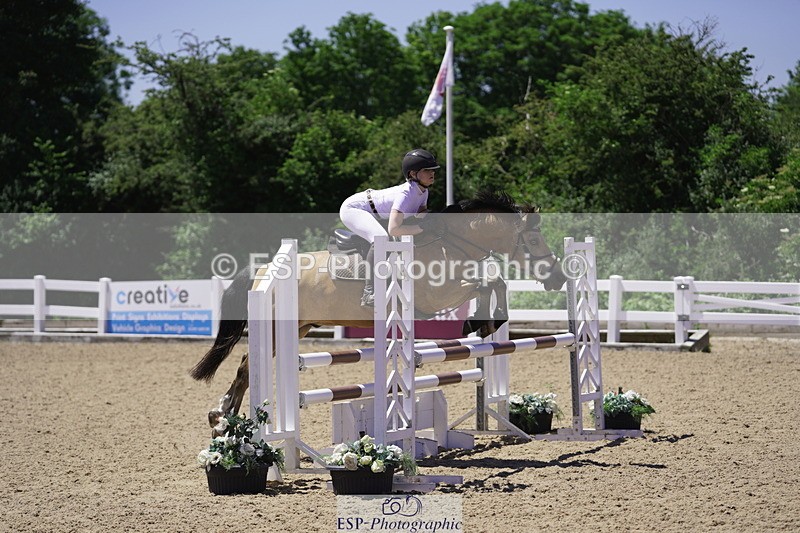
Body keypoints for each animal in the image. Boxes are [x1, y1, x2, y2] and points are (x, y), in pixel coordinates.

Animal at [190, 191, 568, 427]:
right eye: (534, 240)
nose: (559, 277)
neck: (449, 243)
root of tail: (265, 269)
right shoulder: (435, 297)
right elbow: (487, 283)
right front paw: (481, 323)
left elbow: (493, 281)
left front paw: (482, 324)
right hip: (273, 327)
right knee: (246, 366)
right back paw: (223, 418)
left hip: (297, 327)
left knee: (245, 366)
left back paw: (224, 418)